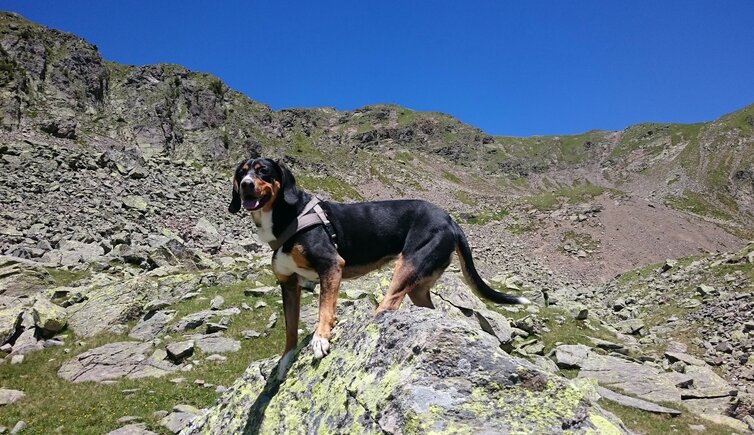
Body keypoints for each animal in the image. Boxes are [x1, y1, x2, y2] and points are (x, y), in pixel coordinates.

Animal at [226, 158, 524, 378]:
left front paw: (321, 339)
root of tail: (450, 220)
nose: (246, 185)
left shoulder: (331, 265)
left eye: (263, 171)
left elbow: (324, 309)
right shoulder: (288, 284)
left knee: (389, 304)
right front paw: (286, 359)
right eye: (241, 173)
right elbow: (290, 328)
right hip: (419, 284)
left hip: (408, 265)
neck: (288, 217)